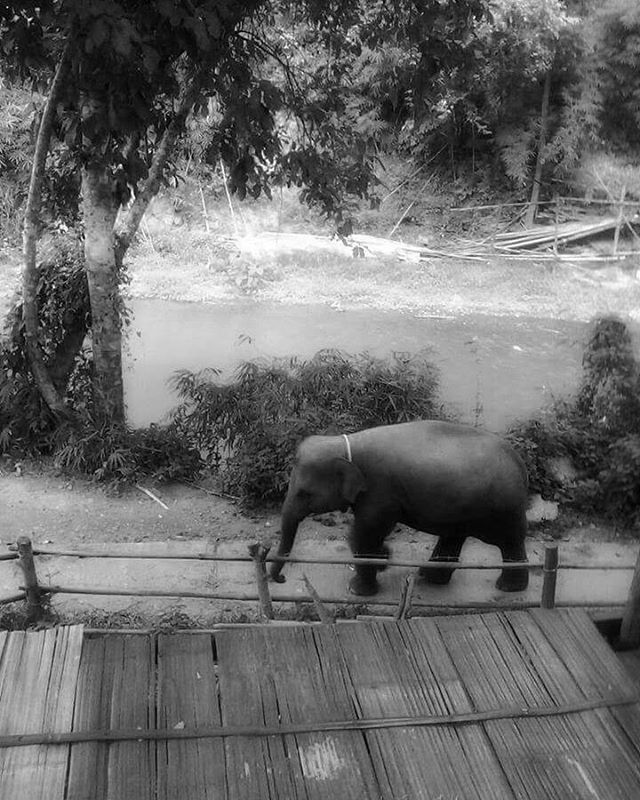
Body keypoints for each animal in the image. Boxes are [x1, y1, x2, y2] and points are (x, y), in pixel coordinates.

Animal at [268, 422, 528, 596]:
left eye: (304, 493)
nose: (281, 578)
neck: (345, 444)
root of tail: (518, 460)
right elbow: (367, 535)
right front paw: (383, 558)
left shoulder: (379, 491)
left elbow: (366, 533)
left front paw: (357, 589)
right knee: (453, 537)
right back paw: (428, 577)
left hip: (502, 509)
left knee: (510, 541)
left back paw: (508, 587)